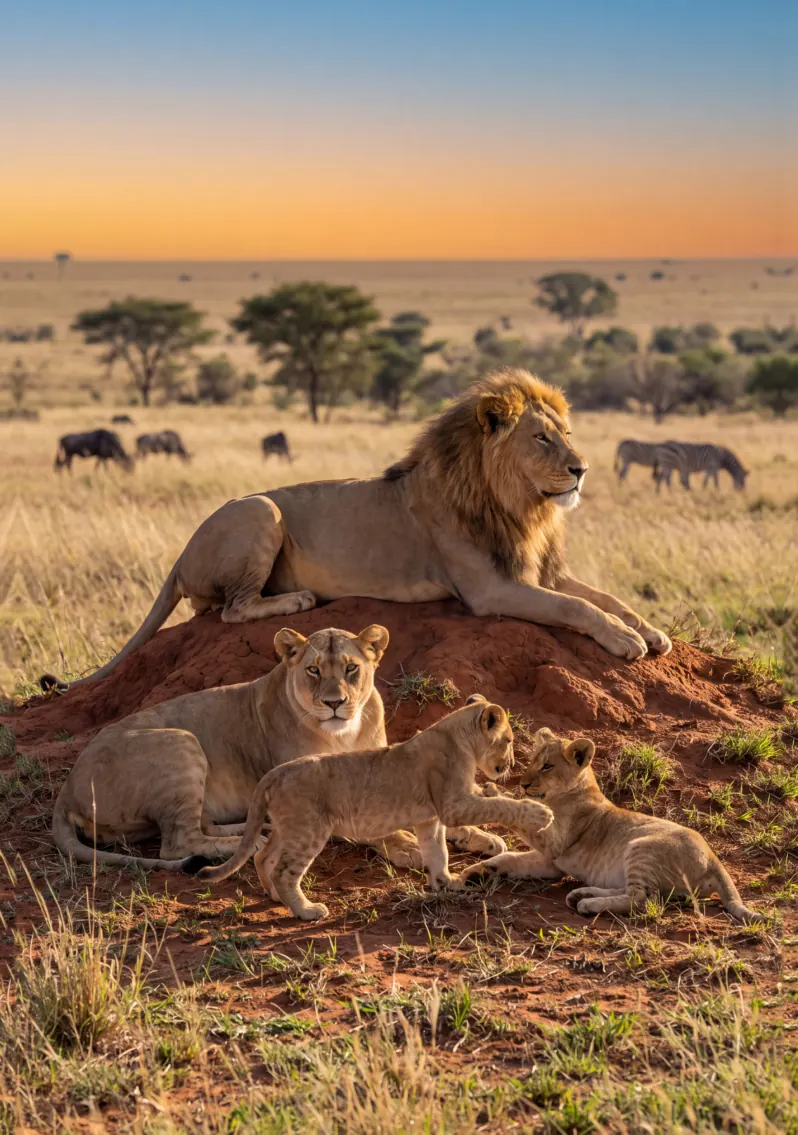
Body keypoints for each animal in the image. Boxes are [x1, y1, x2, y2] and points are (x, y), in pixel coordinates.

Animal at [41, 369, 670, 693]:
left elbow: (605, 597)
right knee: (231, 611)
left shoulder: (538, 569)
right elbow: (576, 608)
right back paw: (297, 598)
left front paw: (650, 631)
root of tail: (180, 552)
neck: (519, 505)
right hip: (260, 511)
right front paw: (625, 641)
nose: (582, 469)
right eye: (541, 438)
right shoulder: (490, 590)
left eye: (566, 433)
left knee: (209, 610)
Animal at [51, 625, 502, 870]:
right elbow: (380, 828)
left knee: (200, 827)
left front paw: (481, 836)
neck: (345, 732)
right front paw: (408, 848)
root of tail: (66, 789)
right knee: (177, 843)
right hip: (180, 742)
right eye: (313, 670)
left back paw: (256, 829)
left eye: (351, 669)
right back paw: (254, 843)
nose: (334, 703)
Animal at [184, 696, 554, 921]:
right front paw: (540, 814)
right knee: (284, 870)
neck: (456, 735)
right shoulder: (453, 805)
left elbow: (438, 852)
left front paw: (446, 883)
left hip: (288, 827)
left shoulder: (431, 818)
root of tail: (276, 772)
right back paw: (306, 910)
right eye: (508, 741)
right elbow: (501, 805)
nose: (509, 766)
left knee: (263, 856)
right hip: (309, 830)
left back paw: (275, 897)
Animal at [459, 727, 759, 924]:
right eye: (532, 761)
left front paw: (492, 792)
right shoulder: (551, 863)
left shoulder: (556, 842)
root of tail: (713, 859)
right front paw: (475, 872)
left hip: (642, 848)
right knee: (636, 893)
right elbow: (510, 859)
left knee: (642, 900)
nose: (522, 784)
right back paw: (582, 893)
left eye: (547, 766)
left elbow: (521, 819)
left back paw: (588, 904)